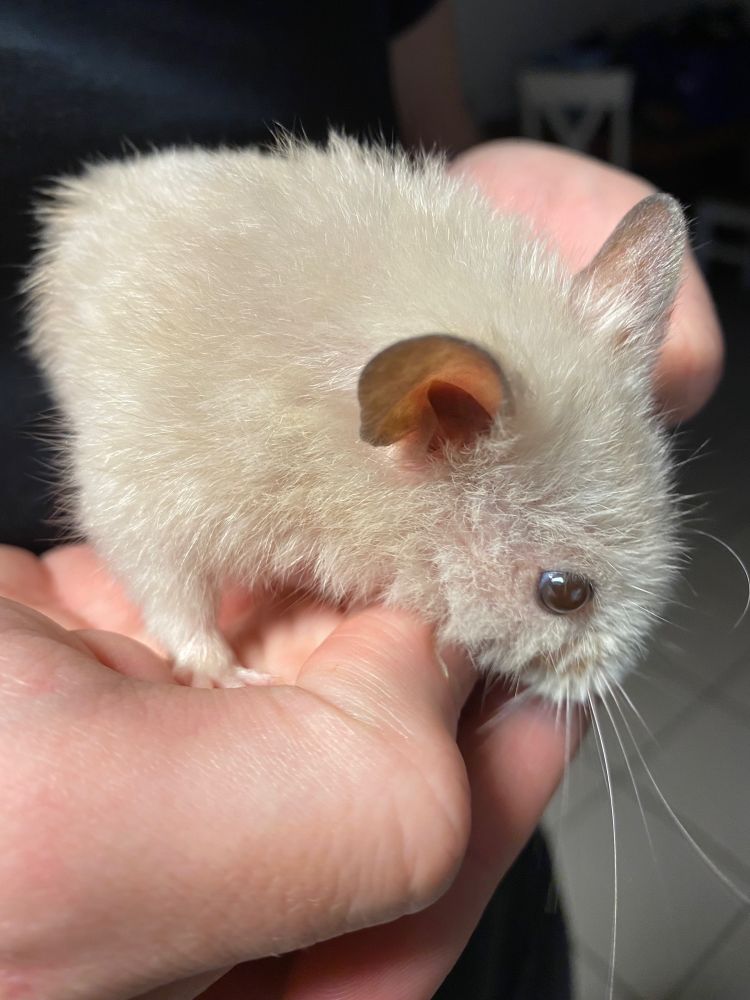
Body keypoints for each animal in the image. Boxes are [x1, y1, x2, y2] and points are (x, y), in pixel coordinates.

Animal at [24, 135, 686, 703]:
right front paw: (227, 678)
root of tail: (83, 193)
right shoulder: (148, 493)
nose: (600, 686)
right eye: (564, 594)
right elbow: (171, 590)